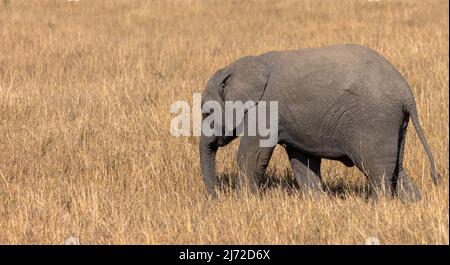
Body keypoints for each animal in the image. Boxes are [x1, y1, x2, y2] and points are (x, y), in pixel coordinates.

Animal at [200, 43, 440, 200]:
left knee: (376, 169)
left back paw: (379, 207)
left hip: (375, 121)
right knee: (396, 167)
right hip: (394, 124)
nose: (216, 199)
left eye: (206, 113)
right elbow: (302, 160)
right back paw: (412, 204)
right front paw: (317, 203)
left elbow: (251, 155)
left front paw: (244, 202)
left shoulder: (266, 109)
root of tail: (406, 93)